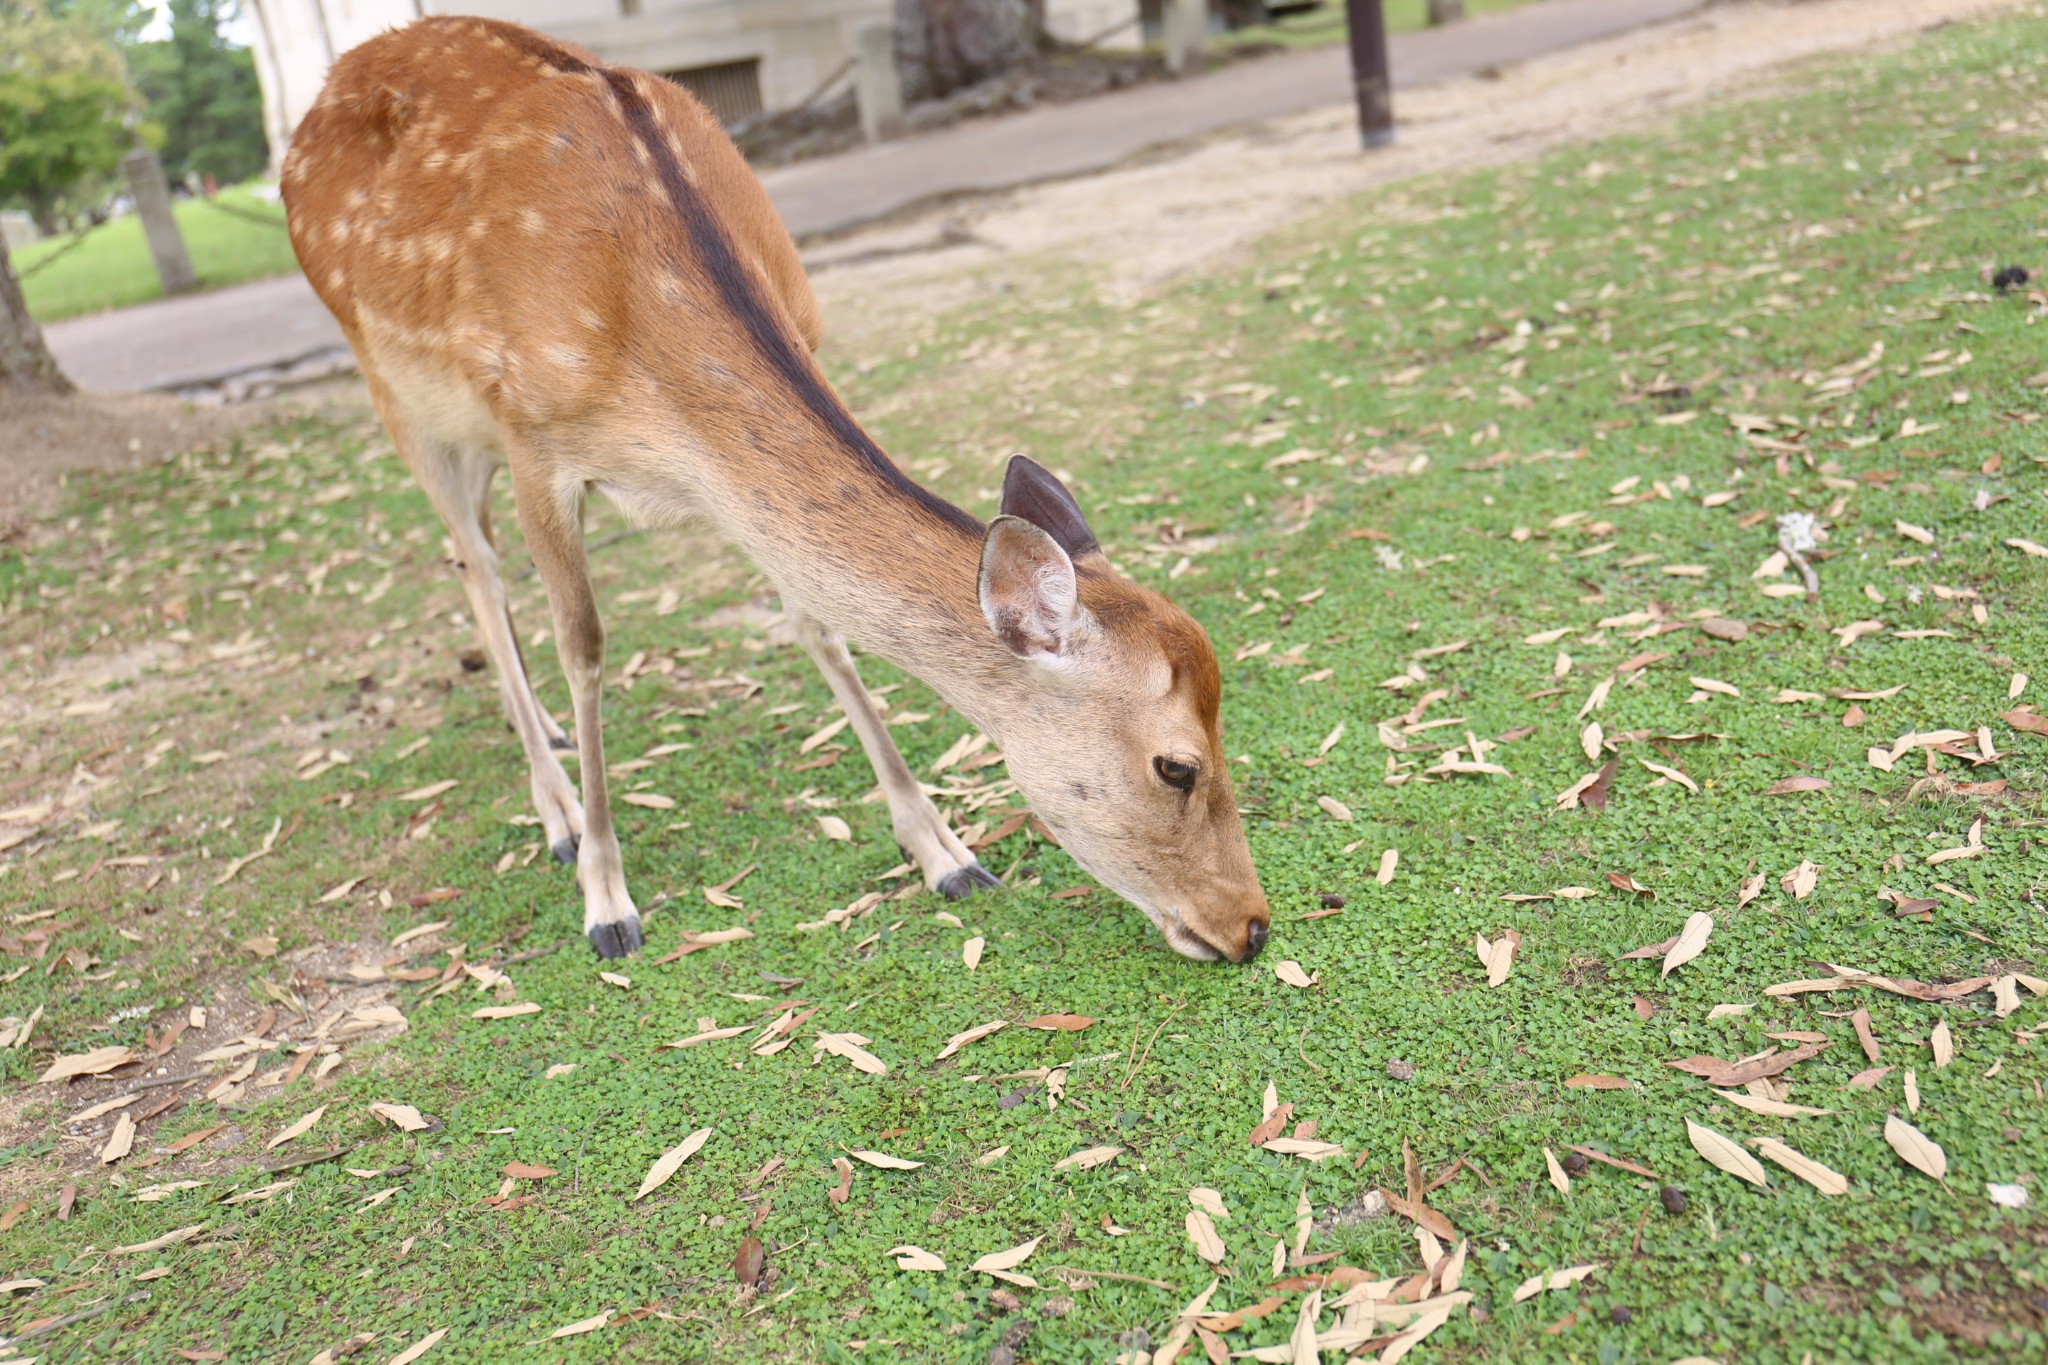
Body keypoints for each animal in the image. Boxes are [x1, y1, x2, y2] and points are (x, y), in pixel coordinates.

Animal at [272, 15, 1261, 965]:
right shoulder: (533, 441)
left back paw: (546, 739)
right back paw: (554, 809)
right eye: (1177, 765)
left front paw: (945, 850)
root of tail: (318, 99)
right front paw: (606, 900)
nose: (1250, 925)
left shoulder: (732, 468)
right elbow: (585, 646)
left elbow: (817, 624)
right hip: (397, 390)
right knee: (475, 565)